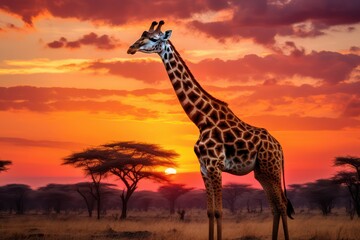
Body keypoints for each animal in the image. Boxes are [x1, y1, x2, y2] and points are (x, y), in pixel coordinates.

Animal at [128, 20, 294, 240]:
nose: (131, 48)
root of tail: (280, 147)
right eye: (141, 35)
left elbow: (219, 211)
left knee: (282, 205)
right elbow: (210, 212)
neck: (201, 120)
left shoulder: (216, 165)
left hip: (272, 168)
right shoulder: (204, 168)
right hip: (262, 172)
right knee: (274, 206)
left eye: (154, 38)